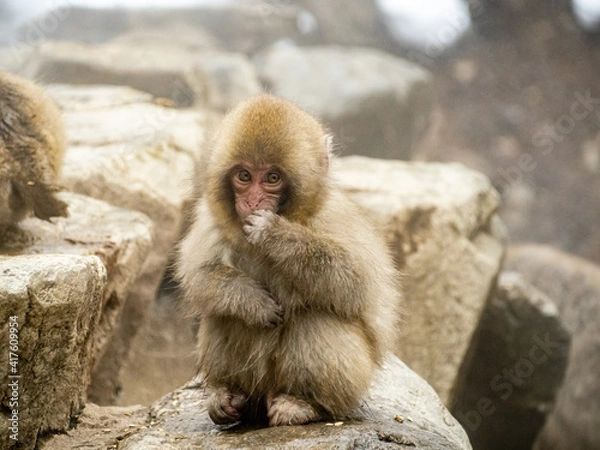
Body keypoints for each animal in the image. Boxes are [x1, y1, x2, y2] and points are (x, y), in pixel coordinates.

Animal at [178, 94, 404, 426]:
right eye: (244, 176)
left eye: (272, 178)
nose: (253, 202)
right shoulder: (211, 218)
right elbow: (198, 275)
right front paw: (254, 302)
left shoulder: (332, 216)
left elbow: (357, 282)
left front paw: (274, 233)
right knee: (221, 313)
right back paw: (228, 396)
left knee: (314, 316)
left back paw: (305, 404)